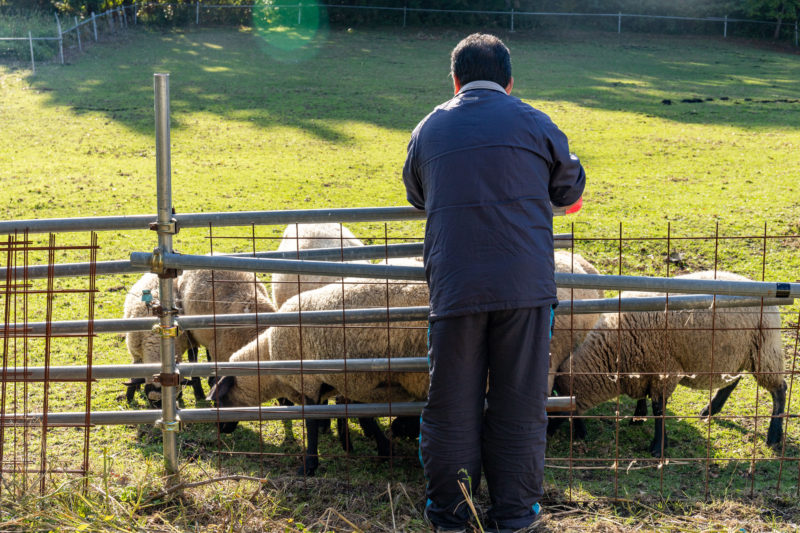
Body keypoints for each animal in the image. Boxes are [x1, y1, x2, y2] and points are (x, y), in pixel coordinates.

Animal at [552, 270, 784, 458]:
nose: (549, 435)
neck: (612, 352)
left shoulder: (664, 371)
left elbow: (659, 409)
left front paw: (658, 447)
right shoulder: (642, 370)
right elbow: (643, 398)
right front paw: (638, 418)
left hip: (765, 350)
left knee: (780, 389)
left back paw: (774, 436)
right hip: (736, 354)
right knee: (732, 381)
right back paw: (710, 410)